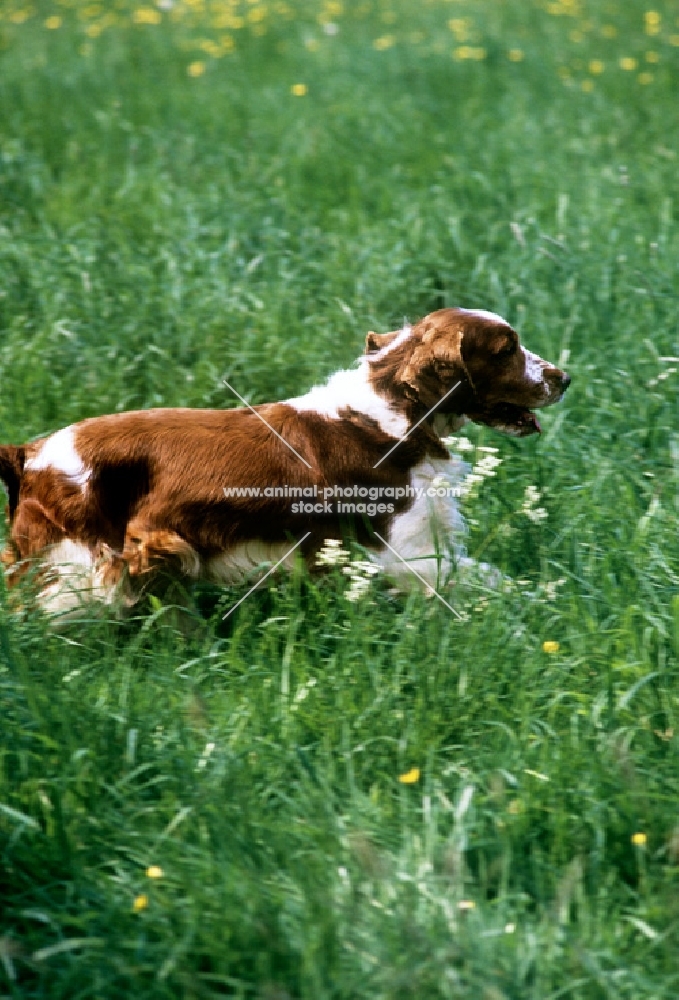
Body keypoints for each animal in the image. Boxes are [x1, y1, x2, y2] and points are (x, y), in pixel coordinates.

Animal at [0, 306, 568, 616]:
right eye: (507, 349)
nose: (564, 377)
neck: (392, 416)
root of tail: (30, 454)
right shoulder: (405, 555)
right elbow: (494, 580)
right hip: (78, 571)